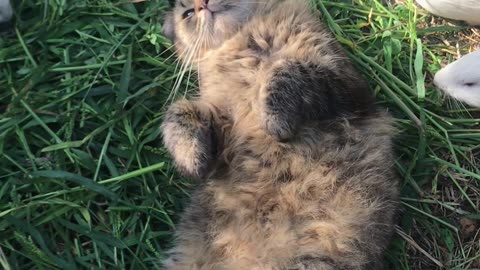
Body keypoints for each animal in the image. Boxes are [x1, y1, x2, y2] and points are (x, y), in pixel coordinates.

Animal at [161, 1, 402, 268]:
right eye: (187, 14)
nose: (202, 5)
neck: (246, 42)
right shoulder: (218, 122)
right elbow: (178, 112)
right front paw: (192, 162)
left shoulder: (346, 86)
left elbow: (284, 70)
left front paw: (274, 122)